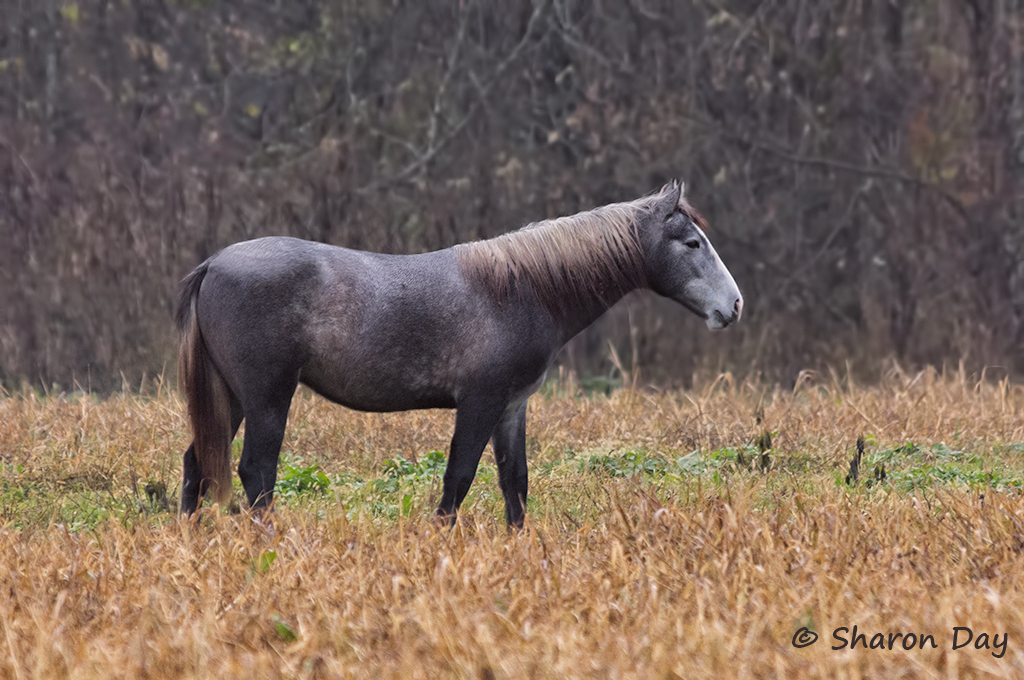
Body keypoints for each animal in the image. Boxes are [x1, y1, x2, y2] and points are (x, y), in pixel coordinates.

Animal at [178, 180, 745, 524]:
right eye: (692, 243)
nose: (734, 305)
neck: (519, 289)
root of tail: (213, 264)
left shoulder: (512, 408)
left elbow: (515, 484)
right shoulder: (480, 403)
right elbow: (459, 480)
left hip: (232, 398)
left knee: (197, 463)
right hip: (267, 398)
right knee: (256, 471)